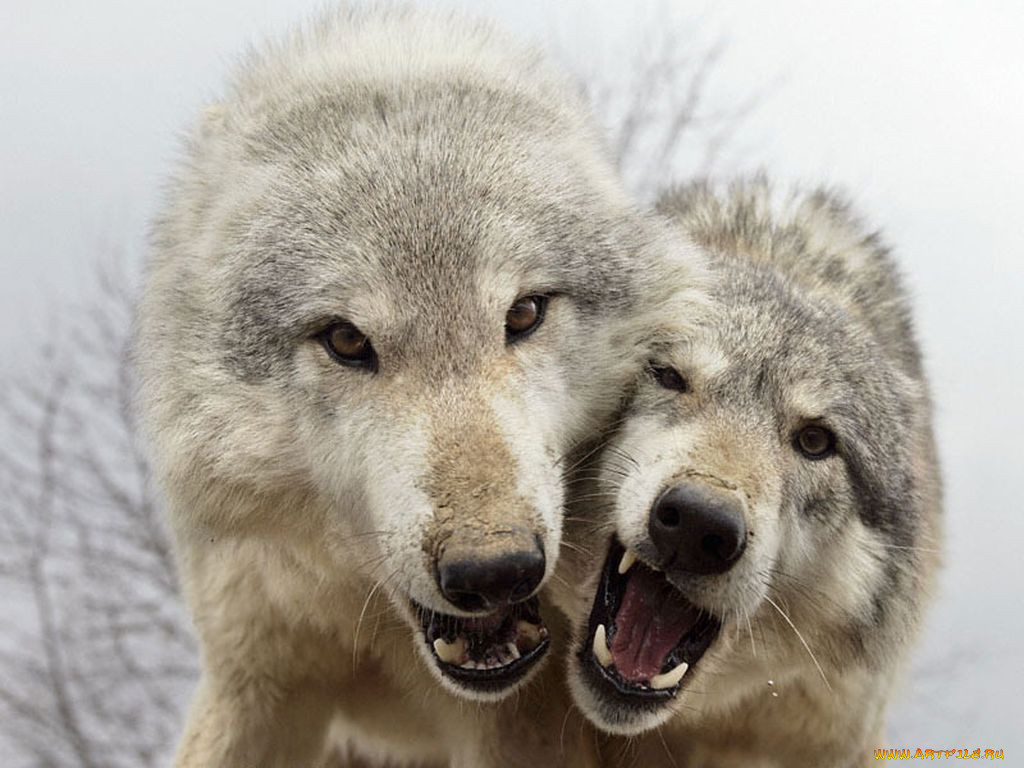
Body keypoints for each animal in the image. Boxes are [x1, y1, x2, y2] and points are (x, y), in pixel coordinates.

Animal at [132, 6, 708, 768]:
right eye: (348, 342)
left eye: (524, 314)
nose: (495, 571)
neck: (377, 632)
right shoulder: (253, 675)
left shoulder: (522, 725)